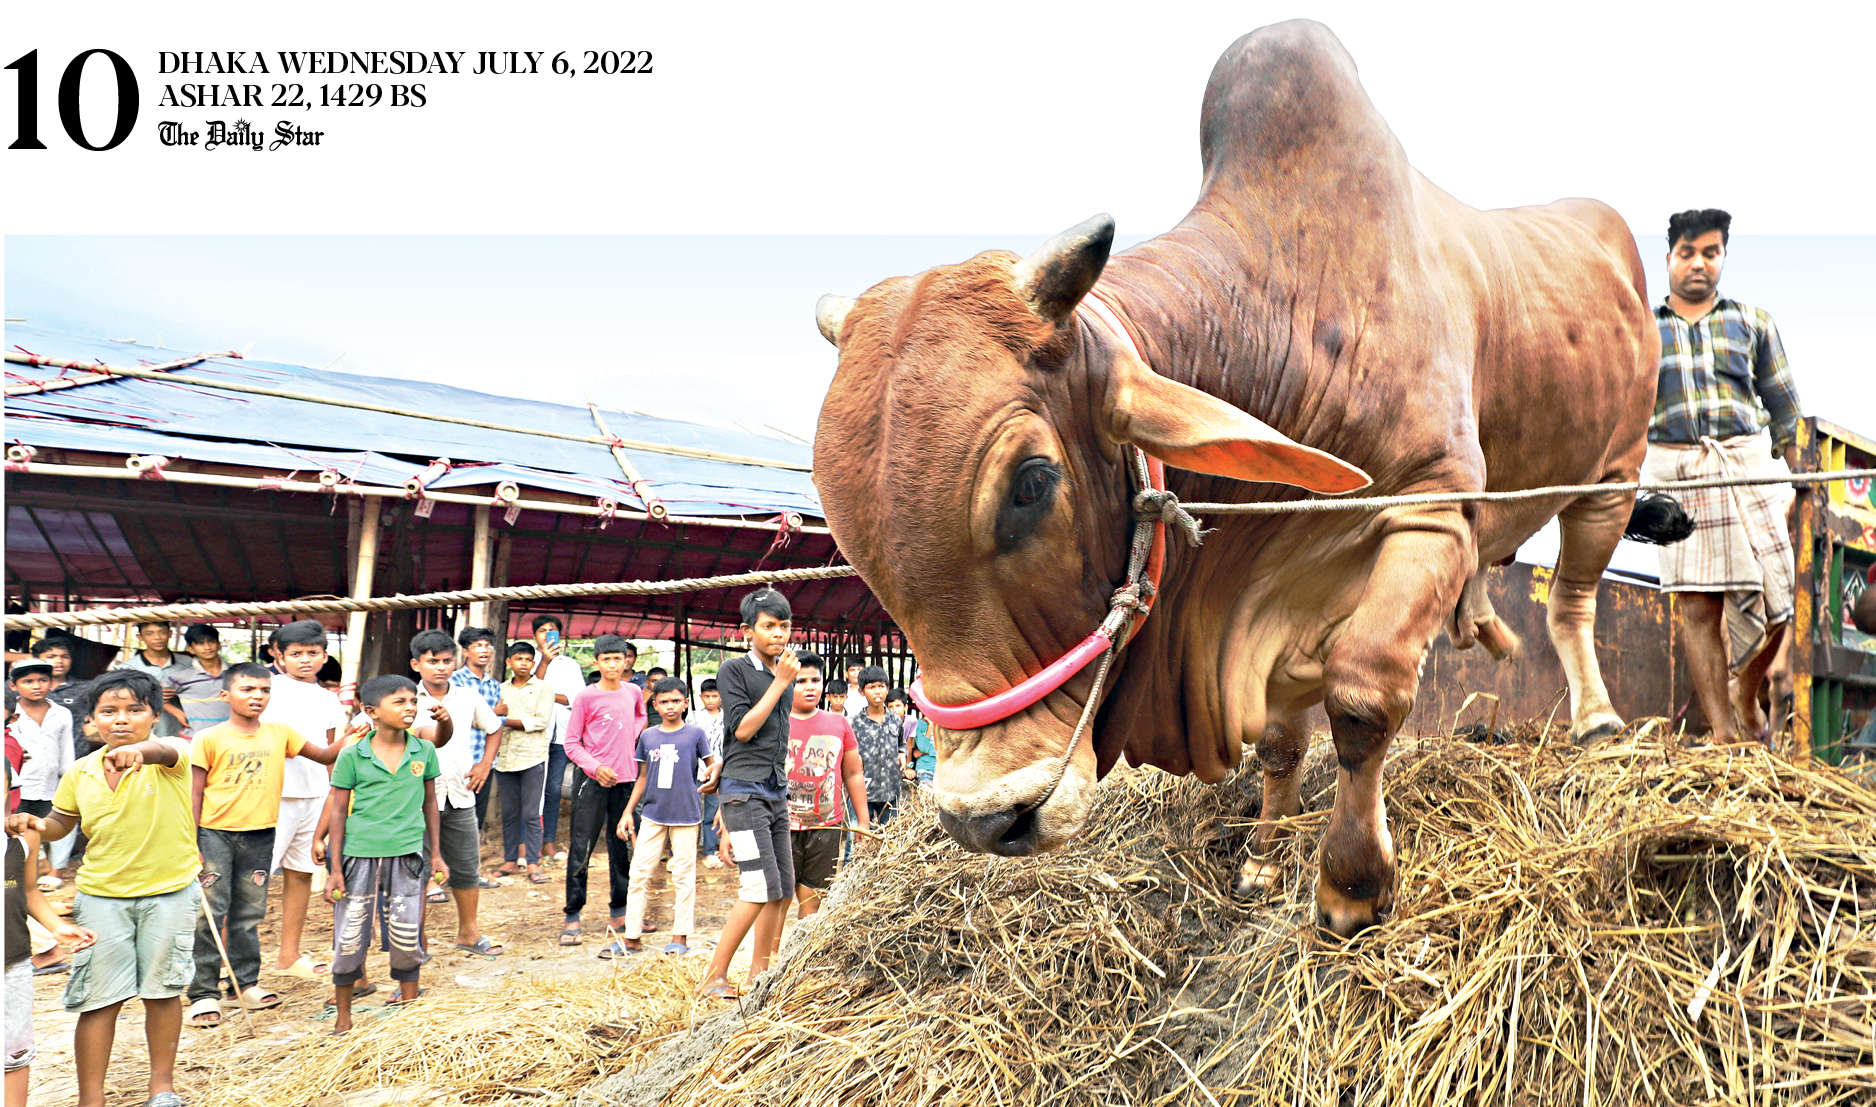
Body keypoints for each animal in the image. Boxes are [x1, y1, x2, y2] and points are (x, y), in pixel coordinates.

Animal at [809, 20, 1658, 937]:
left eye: (1031, 482)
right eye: (847, 531)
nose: (984, 819)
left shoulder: (1435, 507)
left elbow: (1362, 697)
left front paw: (1352, 885)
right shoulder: (1278, 592)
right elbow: (1282, 738)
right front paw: (1262, 855)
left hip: (1612, 480)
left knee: (1572, 597)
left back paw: (1598, 720)